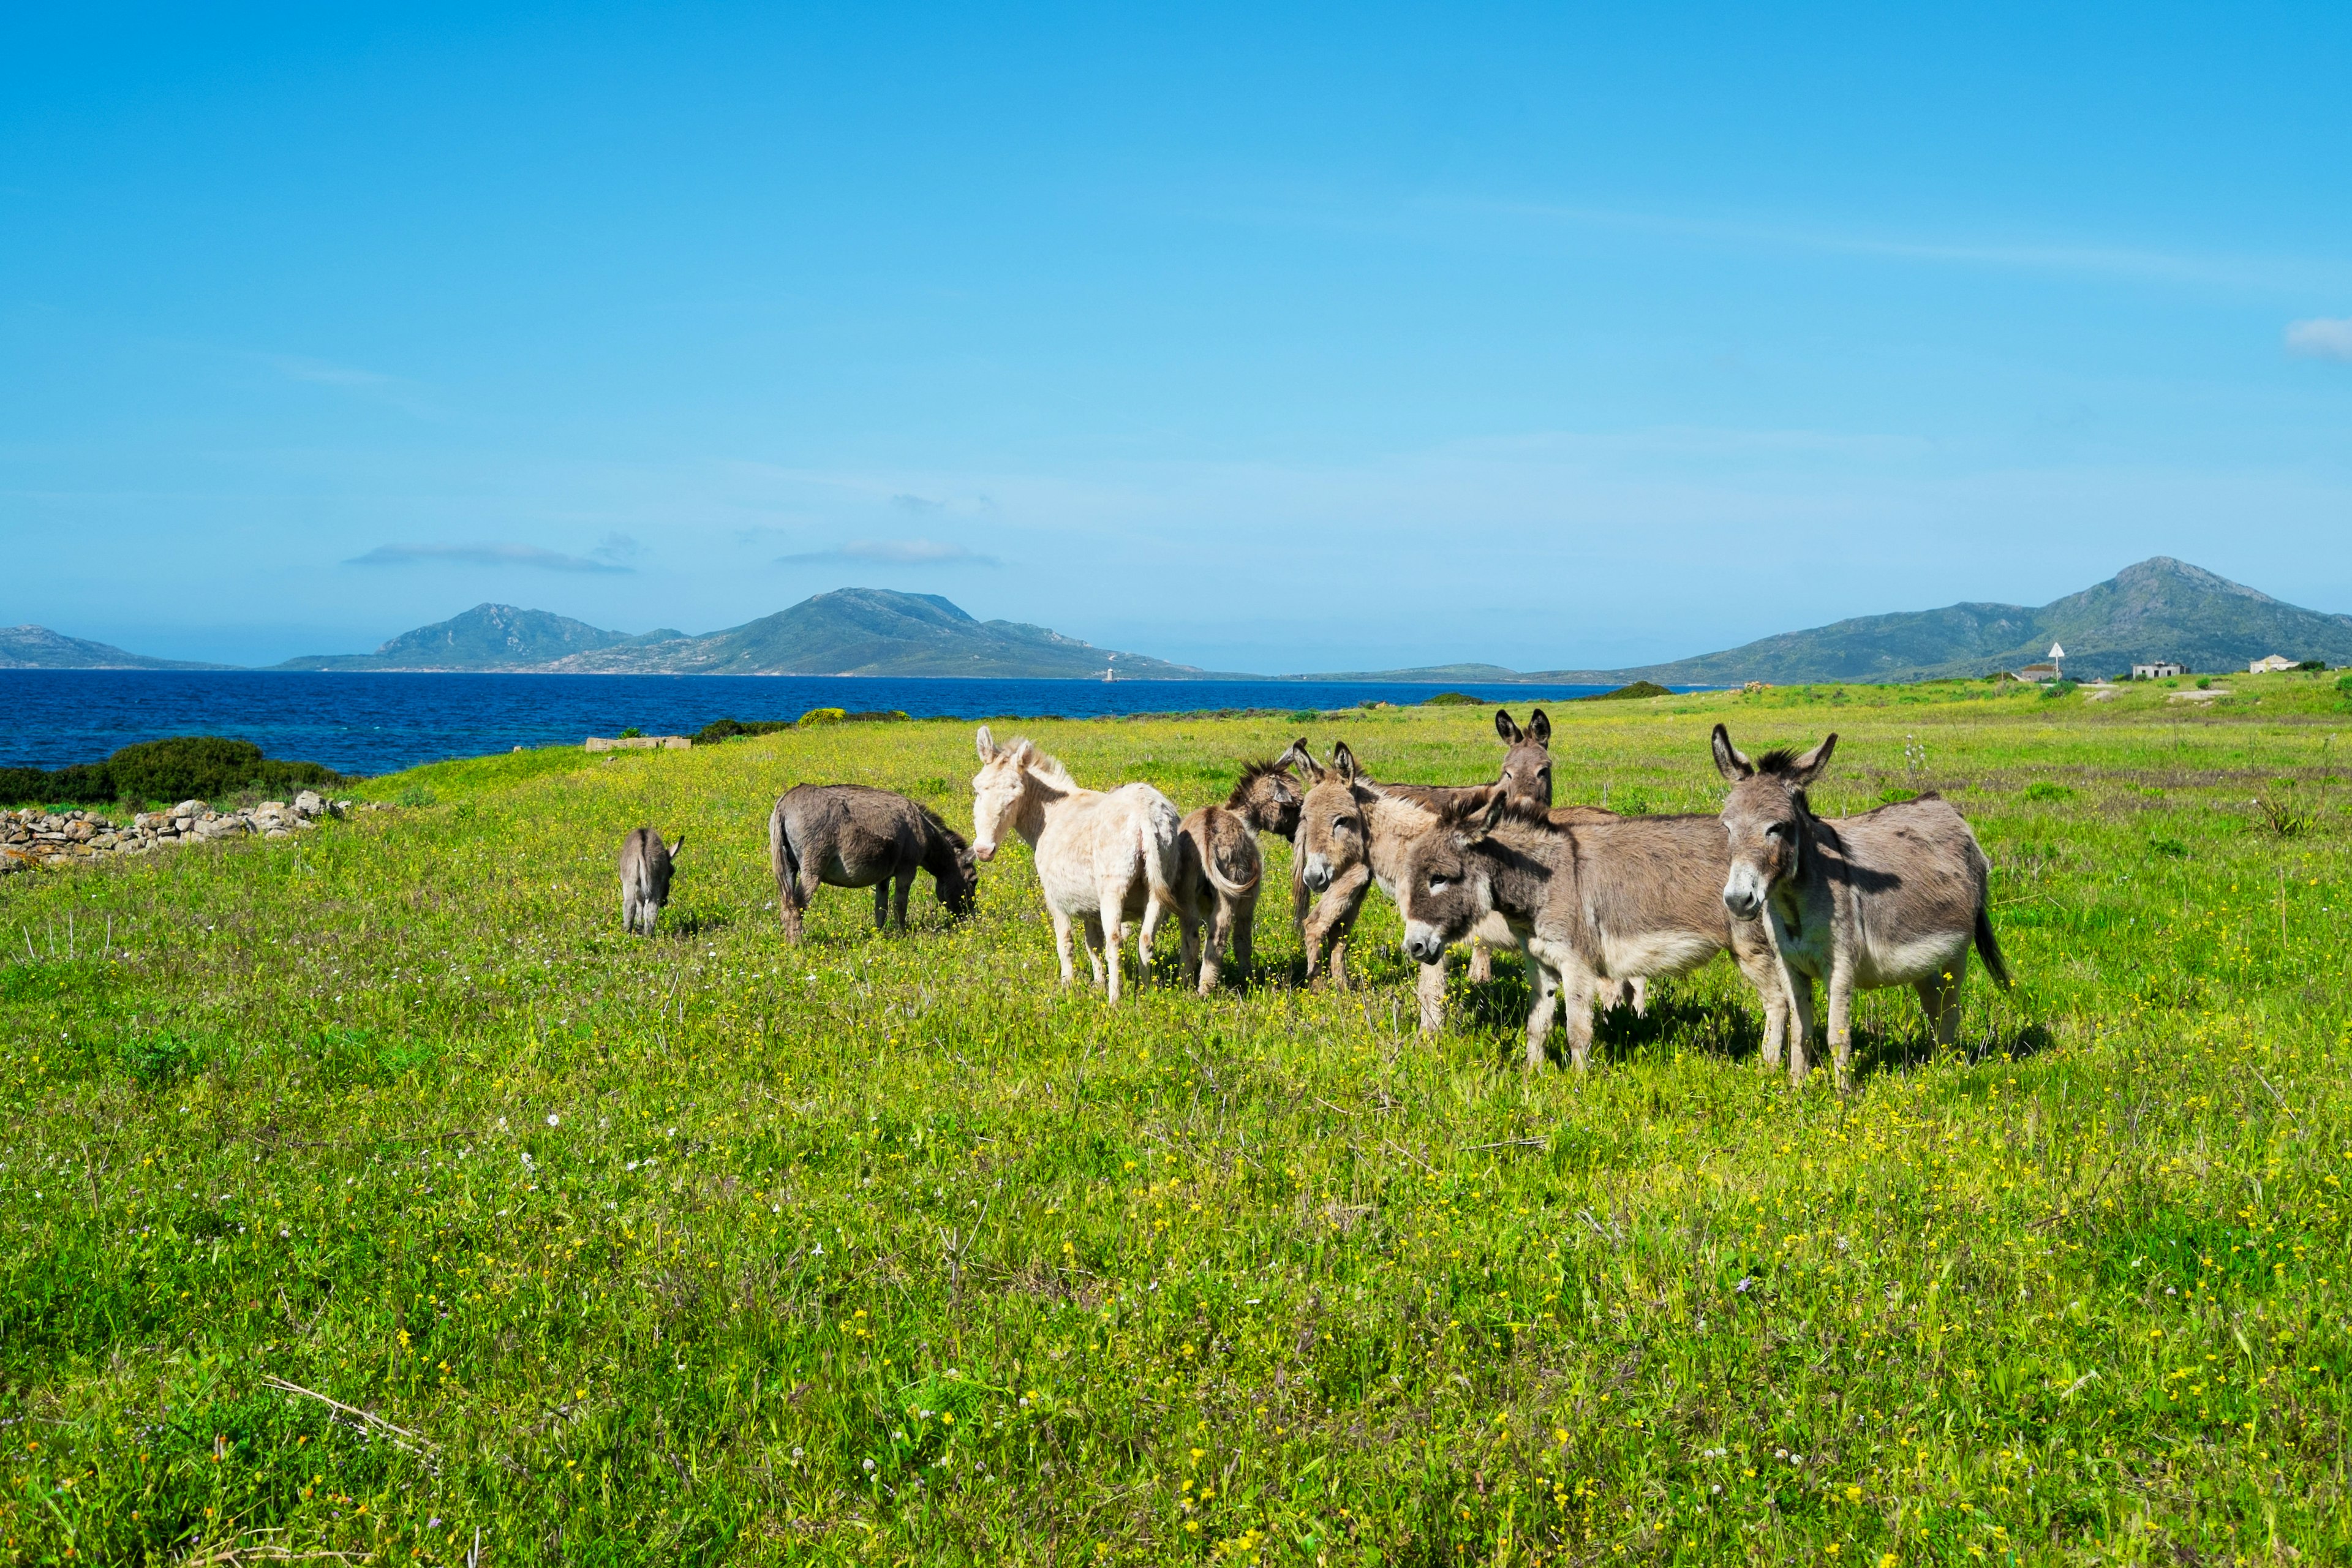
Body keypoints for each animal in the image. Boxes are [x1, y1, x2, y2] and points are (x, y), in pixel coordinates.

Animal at [766, 790, 978, 940]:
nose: (972, 917)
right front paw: (902, 935)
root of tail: (784, 803)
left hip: (789, 869)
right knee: (797, 906)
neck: (923, 830)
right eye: (974, 881)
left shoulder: (883, 878)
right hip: (812, 869)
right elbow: (900, 905)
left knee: (787, 905)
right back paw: (798, 947)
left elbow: (881, 908)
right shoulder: (907, 871)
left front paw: (879, 935)